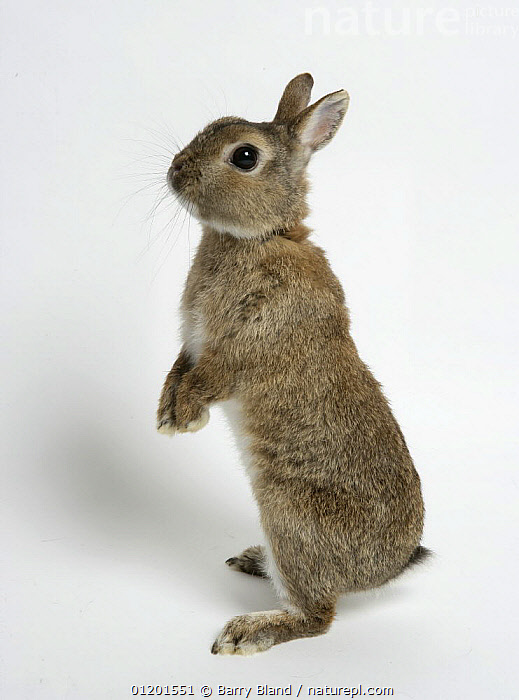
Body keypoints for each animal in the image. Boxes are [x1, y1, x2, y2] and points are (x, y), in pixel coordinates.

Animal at [156, 73, 430, 656]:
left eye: (244, 156)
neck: (260, 237)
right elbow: (179, 369)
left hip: (289, 516)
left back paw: (245, 632)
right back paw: (251, 561)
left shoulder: (246, 345)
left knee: (317, 616)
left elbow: (212, 376)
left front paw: (186, 418)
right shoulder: (191, 343)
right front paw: (168, 416)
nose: (176, 170)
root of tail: (385, 572)